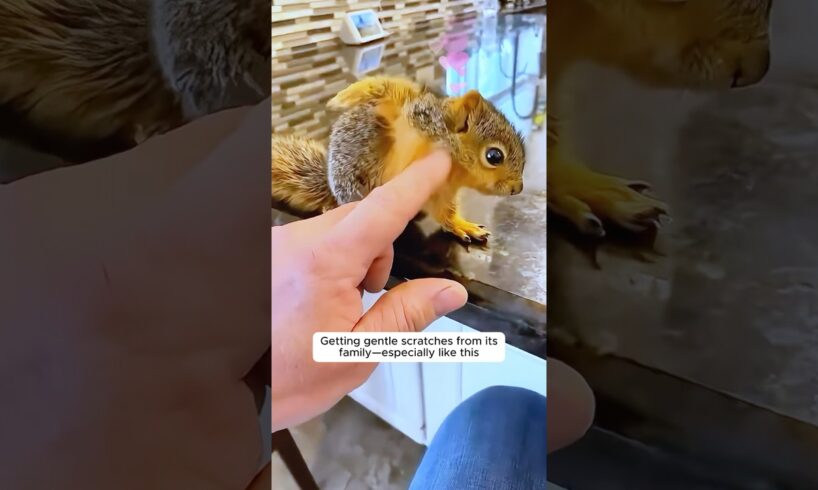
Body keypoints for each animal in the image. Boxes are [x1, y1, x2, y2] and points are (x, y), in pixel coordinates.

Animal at [268, 76, 524, 243]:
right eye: (494, 156)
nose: (518, 189)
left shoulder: (442, 190)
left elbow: (445, 212)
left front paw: (463, 225)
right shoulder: (410, 113)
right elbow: (389, 86)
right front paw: (344, 96)